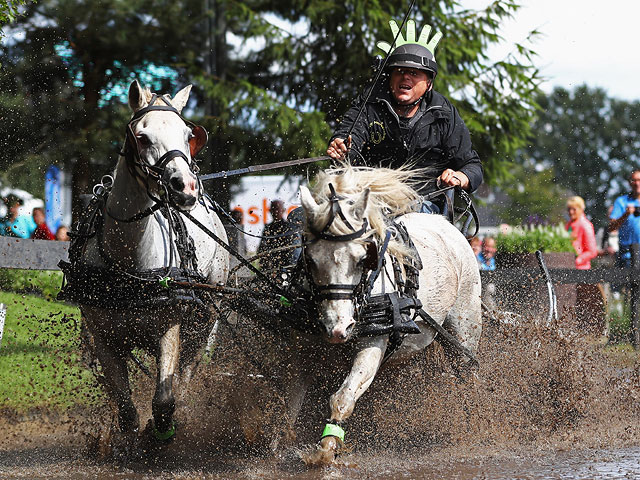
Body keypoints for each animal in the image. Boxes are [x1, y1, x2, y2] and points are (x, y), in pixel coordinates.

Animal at [63, 80, 229, 444]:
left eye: (188, 135)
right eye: (142, 136)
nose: (186, 187)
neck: (130, 264)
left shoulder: (170, 327)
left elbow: (165, 398)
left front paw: (161, 432)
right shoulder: (103, 336)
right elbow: (125, 405)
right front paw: (128, 439)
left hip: (205, 317)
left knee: (187, 370)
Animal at [284, 166, 480, 464]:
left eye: (363, 258)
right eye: (310, 257)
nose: (338, 328)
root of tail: (449, 227)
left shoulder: (374, 340)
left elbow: (344, 396)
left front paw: (326, 451)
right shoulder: (304, 345)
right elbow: (291, 397)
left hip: (464, 332)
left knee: (467, 373)